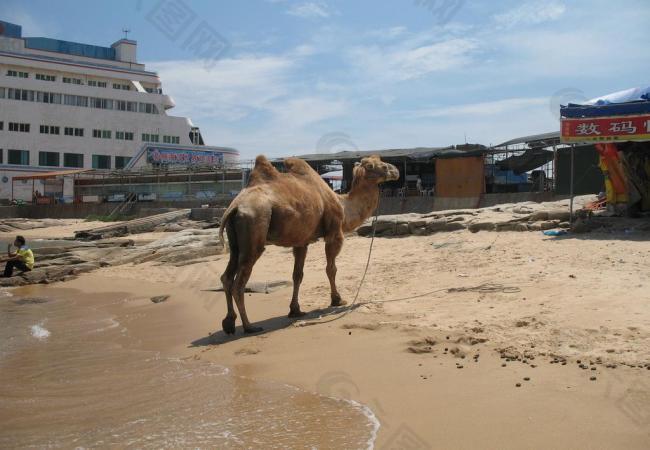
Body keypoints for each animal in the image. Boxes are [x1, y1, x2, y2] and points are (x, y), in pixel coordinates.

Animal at [218, 155, 398, 334]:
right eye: (378, 166)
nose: (396, 171)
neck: (343, 205)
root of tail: (234, 207)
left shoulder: (301, 242)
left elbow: (297, 275)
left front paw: (295, 310)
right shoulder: (334, 233)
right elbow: (331, 269)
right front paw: (337, 300)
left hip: (235, 241)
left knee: (227, 276)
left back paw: (229, 323)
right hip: (254, 228)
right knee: (239, 283)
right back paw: (249, 326)